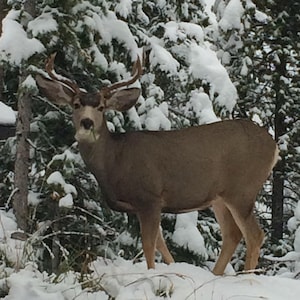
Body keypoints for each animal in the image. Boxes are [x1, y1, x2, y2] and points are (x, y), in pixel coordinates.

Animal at [35, 53, 278, 274]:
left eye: (102, 107)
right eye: (76, 104)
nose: (87, 123)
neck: (115, 160)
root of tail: (274, 146)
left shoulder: (149, 197)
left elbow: (149, 244)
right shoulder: (143, 205)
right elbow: (160, 243)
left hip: (242, 190)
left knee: (255, 235)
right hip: (219, 197)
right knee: (232, 234)